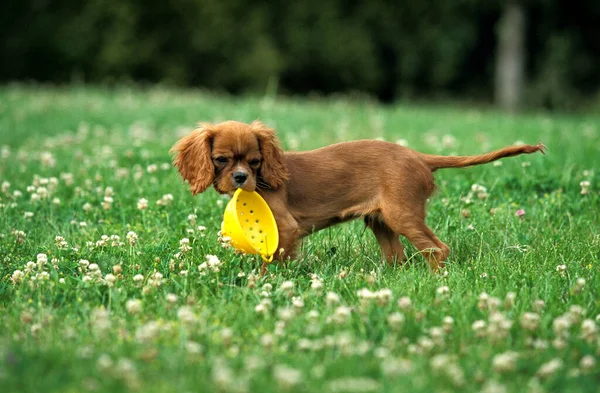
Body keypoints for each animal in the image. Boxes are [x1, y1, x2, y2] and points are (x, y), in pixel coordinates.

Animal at [170, 119, 544, 272]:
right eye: (221, 160)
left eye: (254, 161)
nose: (240, 178)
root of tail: (419, 156)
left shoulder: (287, 228)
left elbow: (273, 262)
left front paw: (263, 285)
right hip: (381, 221)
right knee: (397, 257)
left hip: (402, 215)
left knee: (438, 249)